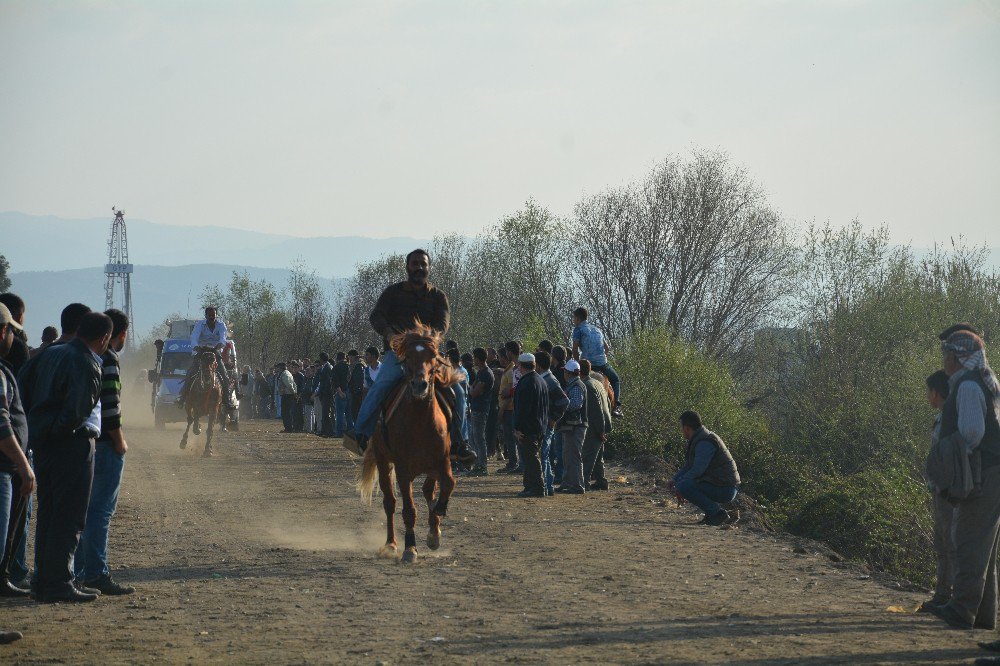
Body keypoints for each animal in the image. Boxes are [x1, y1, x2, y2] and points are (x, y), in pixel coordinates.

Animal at [360, 324, 460, 564]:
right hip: (383, 461)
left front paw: (437, 524)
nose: (419, 385)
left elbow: (448, 484)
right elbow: (409, 510)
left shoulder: (442, 461)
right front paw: (410, 548)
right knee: (390, 502)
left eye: (433, 356)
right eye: (407, 357)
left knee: (428, 491)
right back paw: (391, 544)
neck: (420, 421)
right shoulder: (403, 470)